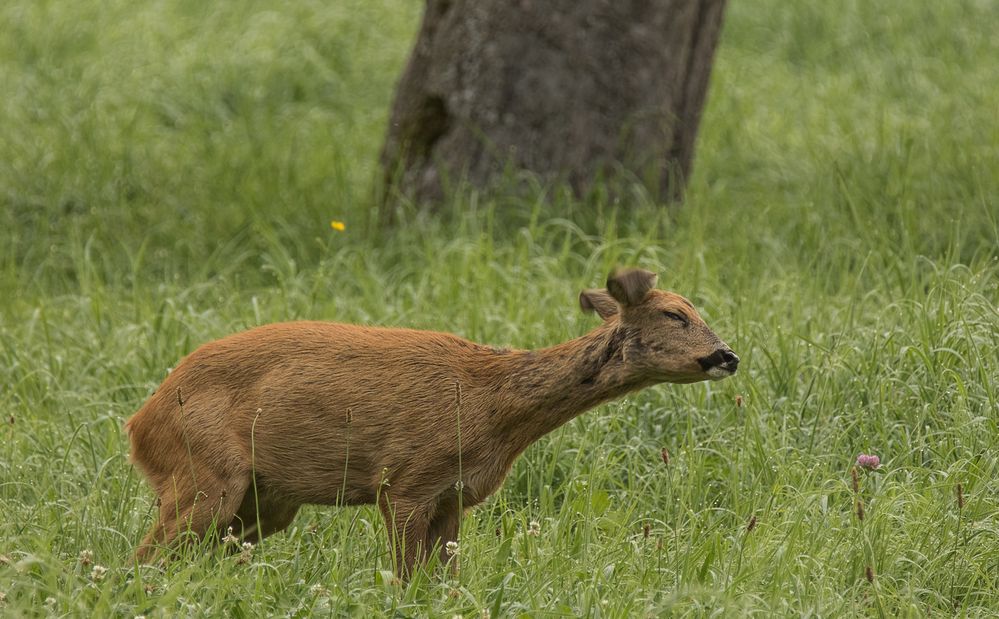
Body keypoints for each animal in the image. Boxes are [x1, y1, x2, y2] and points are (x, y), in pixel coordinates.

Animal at [125, 268, 740, 580]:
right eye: (676, 314)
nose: (727, 355)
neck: (493, 410)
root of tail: (138, 423)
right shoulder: (404, 482)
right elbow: (404, 581)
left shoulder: (454, 497)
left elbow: (444, 584)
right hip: (203, 472)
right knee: (146, 557)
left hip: (266, 500)